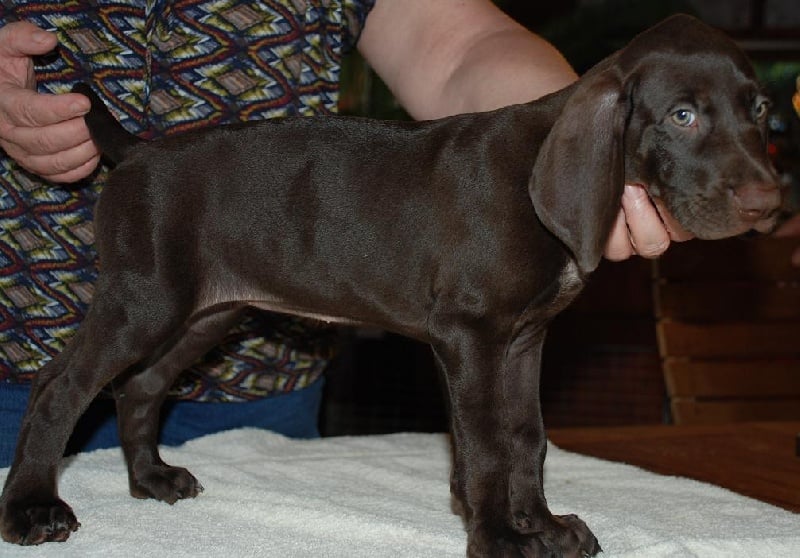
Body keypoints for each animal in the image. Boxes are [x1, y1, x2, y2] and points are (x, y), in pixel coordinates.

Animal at [0, 14, 782, 557]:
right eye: (682, 115)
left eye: (761, 111)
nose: (768, 202)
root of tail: (136, 153)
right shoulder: (468, 334)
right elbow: (486, 445)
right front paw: (501, 537)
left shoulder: (523, 338)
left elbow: (525, 436)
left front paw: (542, 525)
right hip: (146, 298)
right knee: (59, 388)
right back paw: (33, 508)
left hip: (205, 310)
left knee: (140, 385)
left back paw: (151, 480)